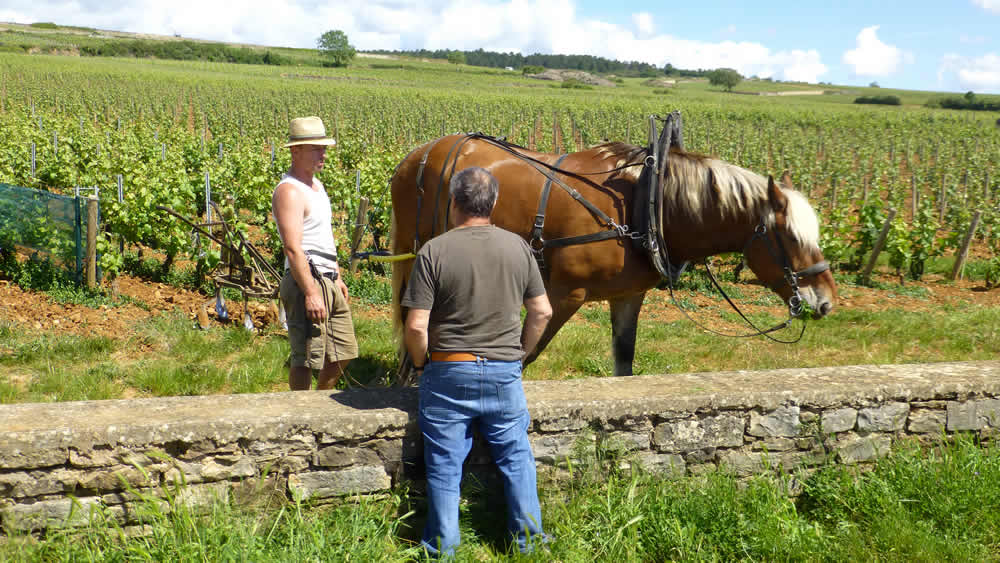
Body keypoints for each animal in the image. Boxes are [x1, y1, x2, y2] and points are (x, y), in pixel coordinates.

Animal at [388, 134, 836, 376]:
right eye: (790, 237)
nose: (827, 302)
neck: (644, 204)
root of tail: (416, 155)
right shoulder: (562, 294)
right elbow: (524, 356)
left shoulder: (627, 297)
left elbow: (624, 363)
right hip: (416, 254)